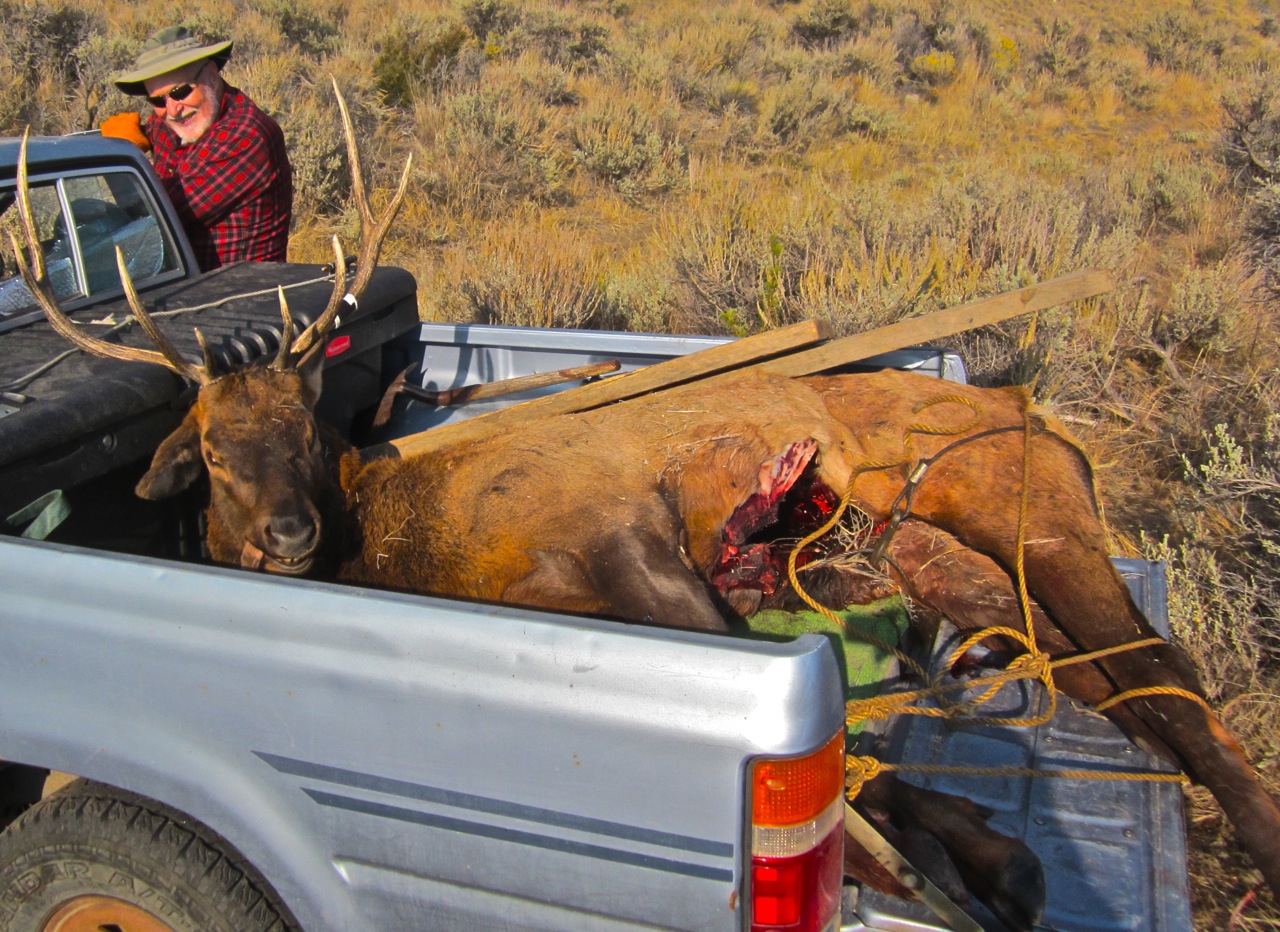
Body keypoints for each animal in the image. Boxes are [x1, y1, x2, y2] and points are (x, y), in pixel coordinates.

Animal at [10, 86, 1280, 925]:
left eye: (305, 436)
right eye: (214, 452)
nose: (288, 534)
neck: (407, 539)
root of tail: (1037, 408)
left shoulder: (619, 534)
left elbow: (837, 783)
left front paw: (975, 856)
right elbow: (867, 789)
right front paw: (983, 853)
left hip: (1031, 505)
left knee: (1174, 685)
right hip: (961, 556)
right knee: (1097, 674)